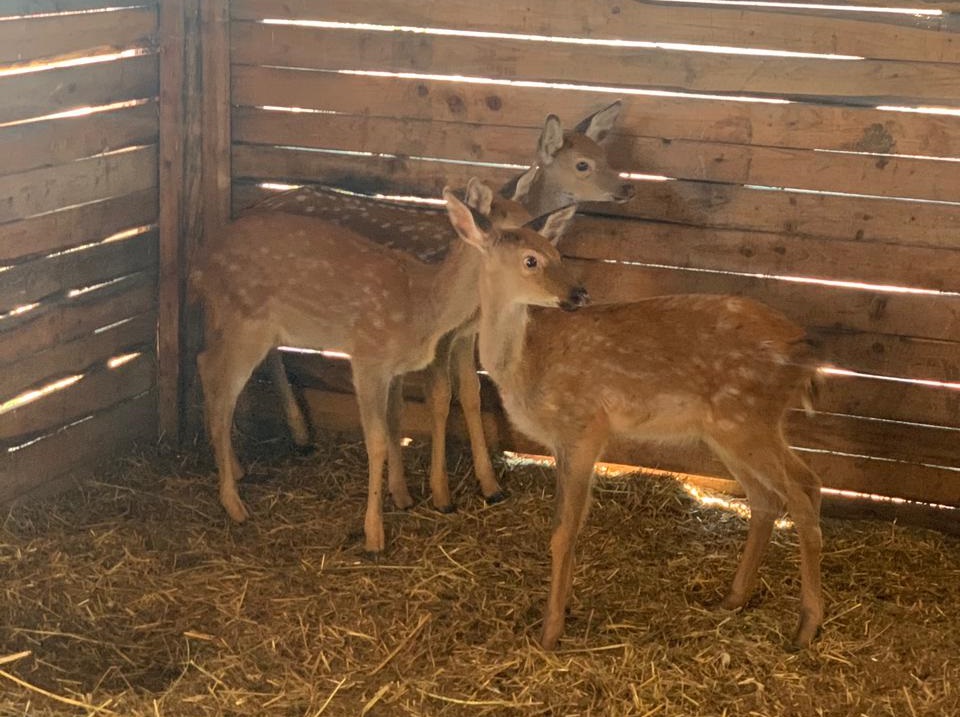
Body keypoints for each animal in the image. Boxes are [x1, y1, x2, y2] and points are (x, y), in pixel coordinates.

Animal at [190, 176, 536, 552]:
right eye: (515, 235)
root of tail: (202, 258)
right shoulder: (380, 355)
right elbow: (396, 427)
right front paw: (389, 526)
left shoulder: (409, 360)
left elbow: (410, 414)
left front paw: (408, 495)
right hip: (248, 322)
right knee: (219, 378)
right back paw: (236, 498)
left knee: (209, 364)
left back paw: (240, 466)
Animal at [251, 102, 636, 516]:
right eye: (583, 164)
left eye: (606, 156)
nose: (627, 187)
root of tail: (252, 205)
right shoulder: (441, 333)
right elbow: (438, 397)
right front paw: (440, 494)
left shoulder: (467, 331)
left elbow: (470, 392)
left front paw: (489, 486)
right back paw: (299, 435)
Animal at [442, 187, 824, 652]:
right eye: (531, 260)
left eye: (558, 252)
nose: (578, 293)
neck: (526, 365)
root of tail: (806, 355)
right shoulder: (567, 440)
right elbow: (564, 525)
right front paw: (562, 613)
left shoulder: (585, 425)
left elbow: (563, 531)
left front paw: (551, 631)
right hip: (735, 427)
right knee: (776, 494)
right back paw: (733, 598)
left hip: (747, 418)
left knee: (801, 494)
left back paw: (806, 627)